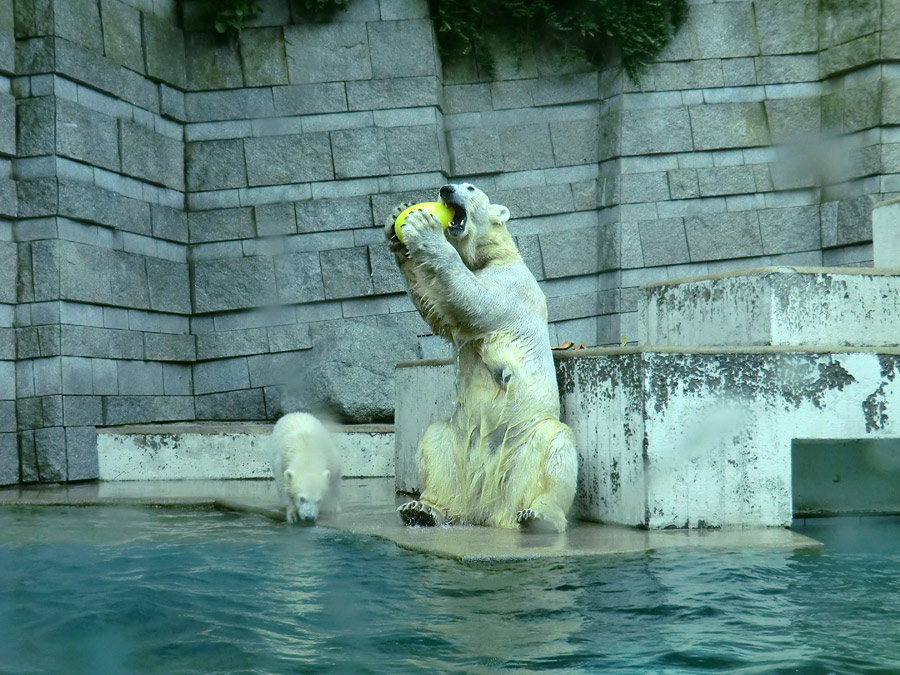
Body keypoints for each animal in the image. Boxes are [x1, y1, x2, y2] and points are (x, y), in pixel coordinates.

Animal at [384, 184, 576, 532]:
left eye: (471, 187)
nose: (446, 189)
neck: (491, 254)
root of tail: (488, 507)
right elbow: (437, 311)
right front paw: (395, 223)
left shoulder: (512, 282)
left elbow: (475, 301)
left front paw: (423, 228)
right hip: (457, 444)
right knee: (434, 443)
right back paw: (423, 509)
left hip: (527, 444)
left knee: (558, 449)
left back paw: (538, 516)